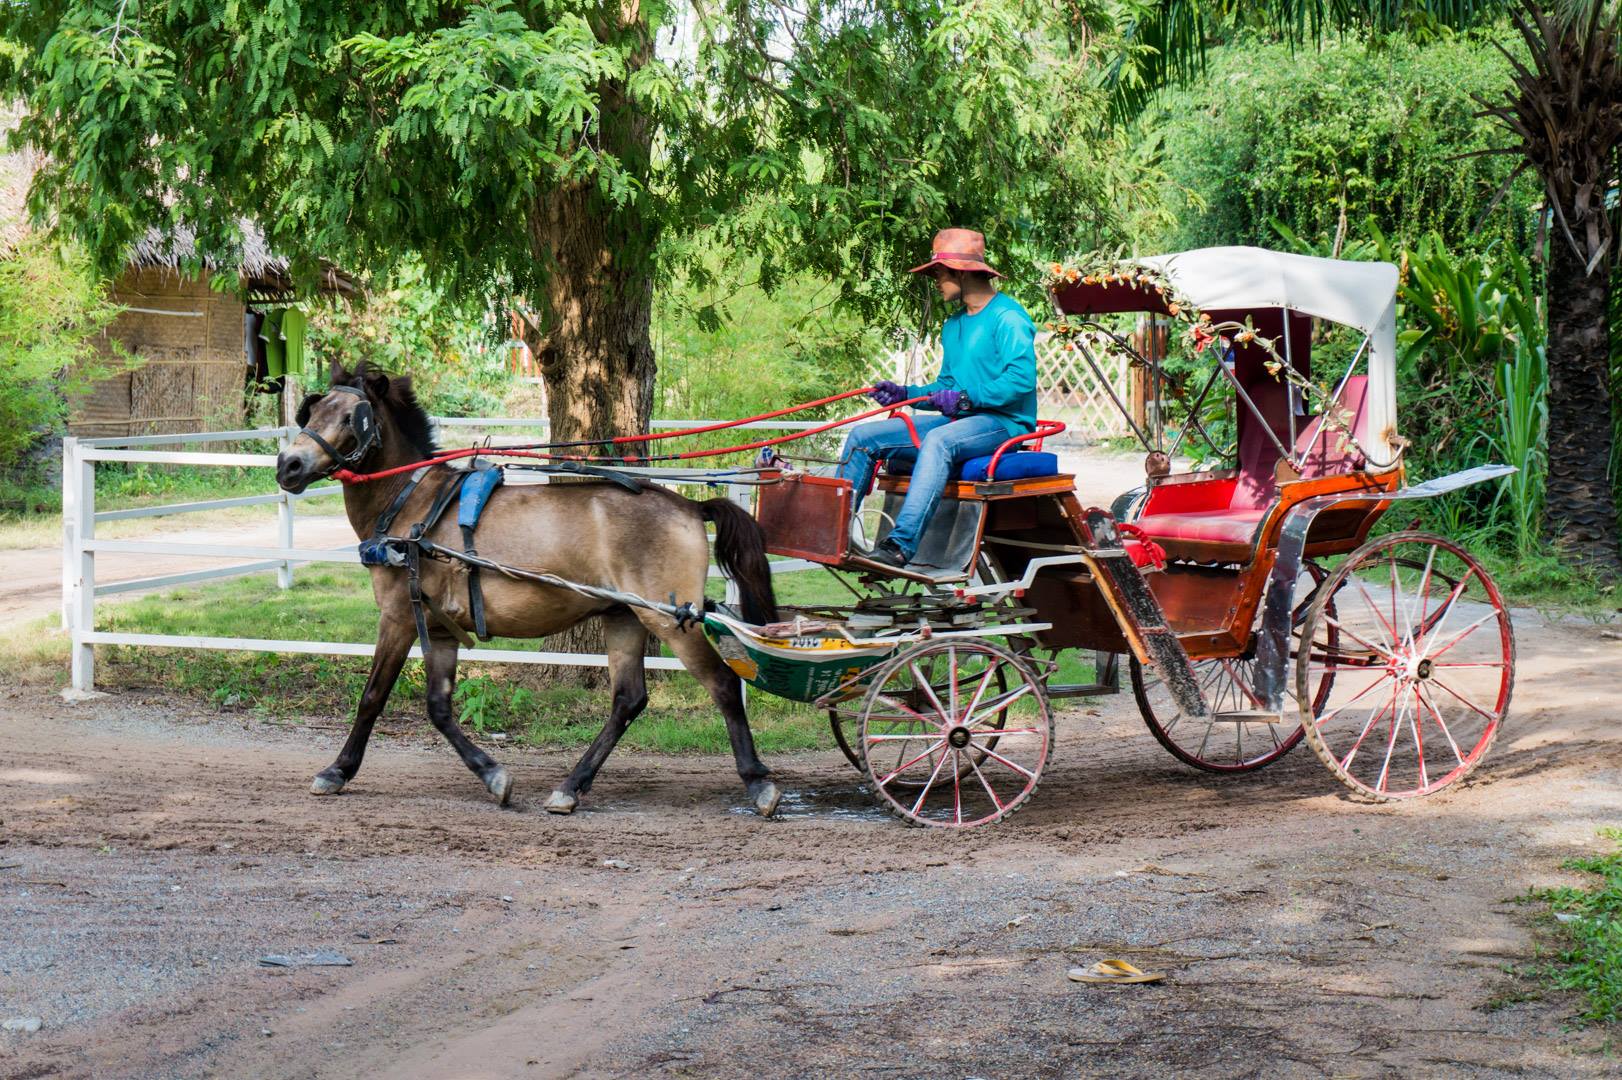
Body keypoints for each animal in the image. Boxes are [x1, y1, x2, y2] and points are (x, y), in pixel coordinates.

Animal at [275, 356, 781, 810]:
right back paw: (571, 786)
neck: (412, 504)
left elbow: (372, 696)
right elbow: (438, 706)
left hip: (669, 618)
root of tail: (691, 506)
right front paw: (493, 775)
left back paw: (758, 782)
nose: (289, 466)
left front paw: (337, 770)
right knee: (628, 700)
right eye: (312, 411)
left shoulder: (398, 617)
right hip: (624, 617)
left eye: (351, 417)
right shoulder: (439, 628)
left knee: (721, 684)